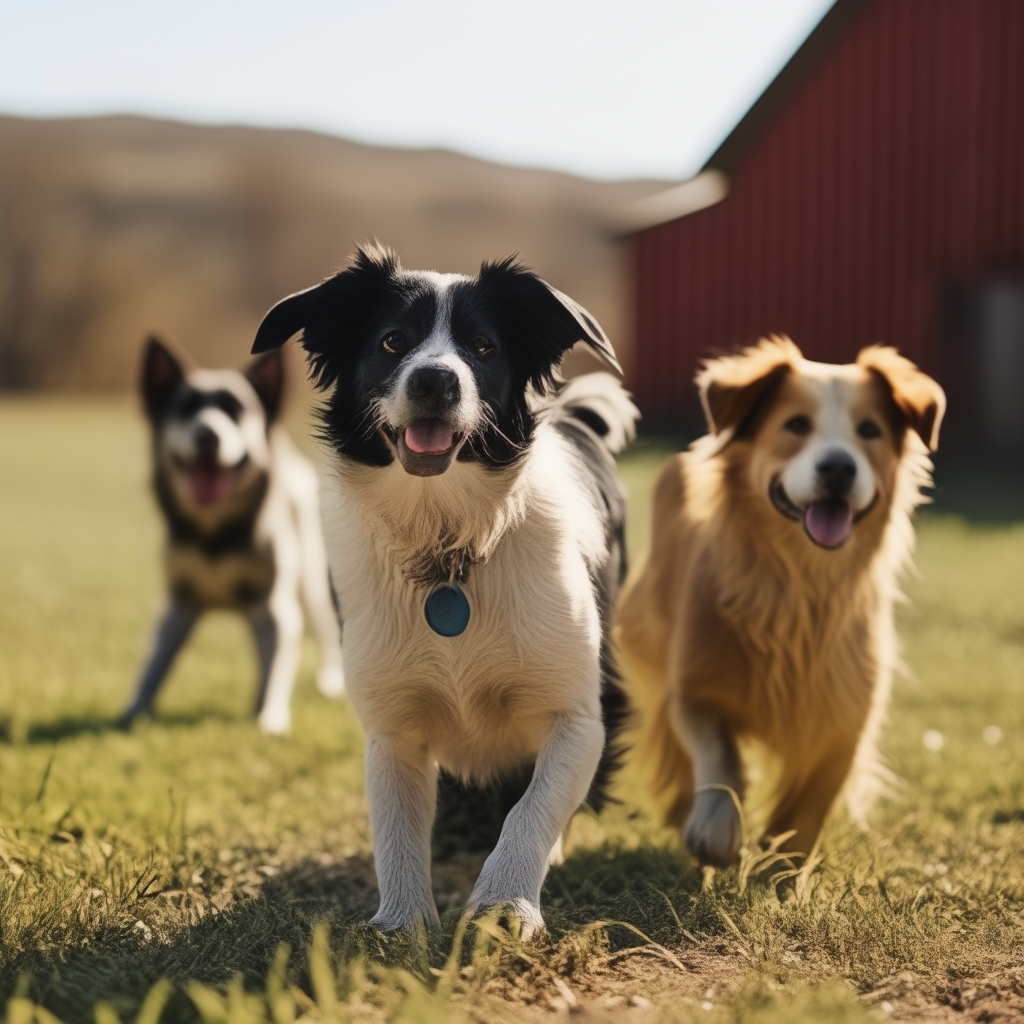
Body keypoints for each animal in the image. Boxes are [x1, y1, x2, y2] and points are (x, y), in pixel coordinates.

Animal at [124, 339, 346, 733]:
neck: (215, 535)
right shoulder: (179, 605)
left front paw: (270, 715)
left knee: (322, 626)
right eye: (185, 409)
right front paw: (135, 708)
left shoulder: (275, 607)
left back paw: (328, 680)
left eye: (237, 411)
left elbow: (278, 667)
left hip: (312, 580)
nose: (207, 435)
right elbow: (155, 663)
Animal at [251, 243, 634, 933]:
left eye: (482, 346)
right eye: (392, 341)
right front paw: (402, 923)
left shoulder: (579, 715)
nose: (436, 380)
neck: (447, 544)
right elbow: (396, 826)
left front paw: (507, 901)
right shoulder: (392, 726)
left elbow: (533, 808)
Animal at [614, 335, 942, 864]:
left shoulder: (846, 716)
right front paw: (716, 826)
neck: (797, 587)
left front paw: (786, 866)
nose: (838, 467)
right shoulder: (695, 686)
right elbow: (720, 755)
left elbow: (809, 806)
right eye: (796, 425)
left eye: (869, 430)